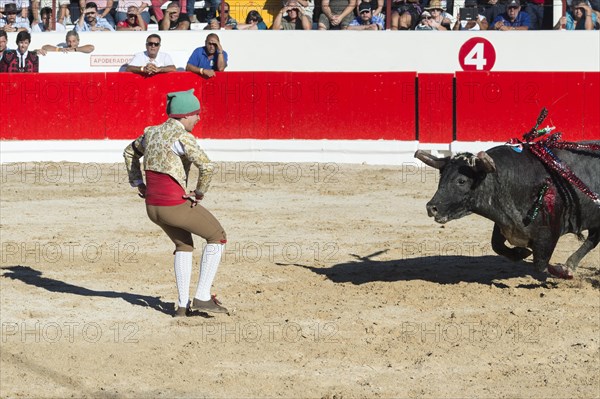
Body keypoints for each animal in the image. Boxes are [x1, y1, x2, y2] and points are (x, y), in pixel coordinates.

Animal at [414, 143, 600, 278]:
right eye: (441, 178)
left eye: (461, 181)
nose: (432, 207)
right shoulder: (504, 224)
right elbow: (497, 245)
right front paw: (521, 252)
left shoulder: (548, 235)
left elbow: (541, 264)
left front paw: (562, 273)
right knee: (593, 239)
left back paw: (568, 268)